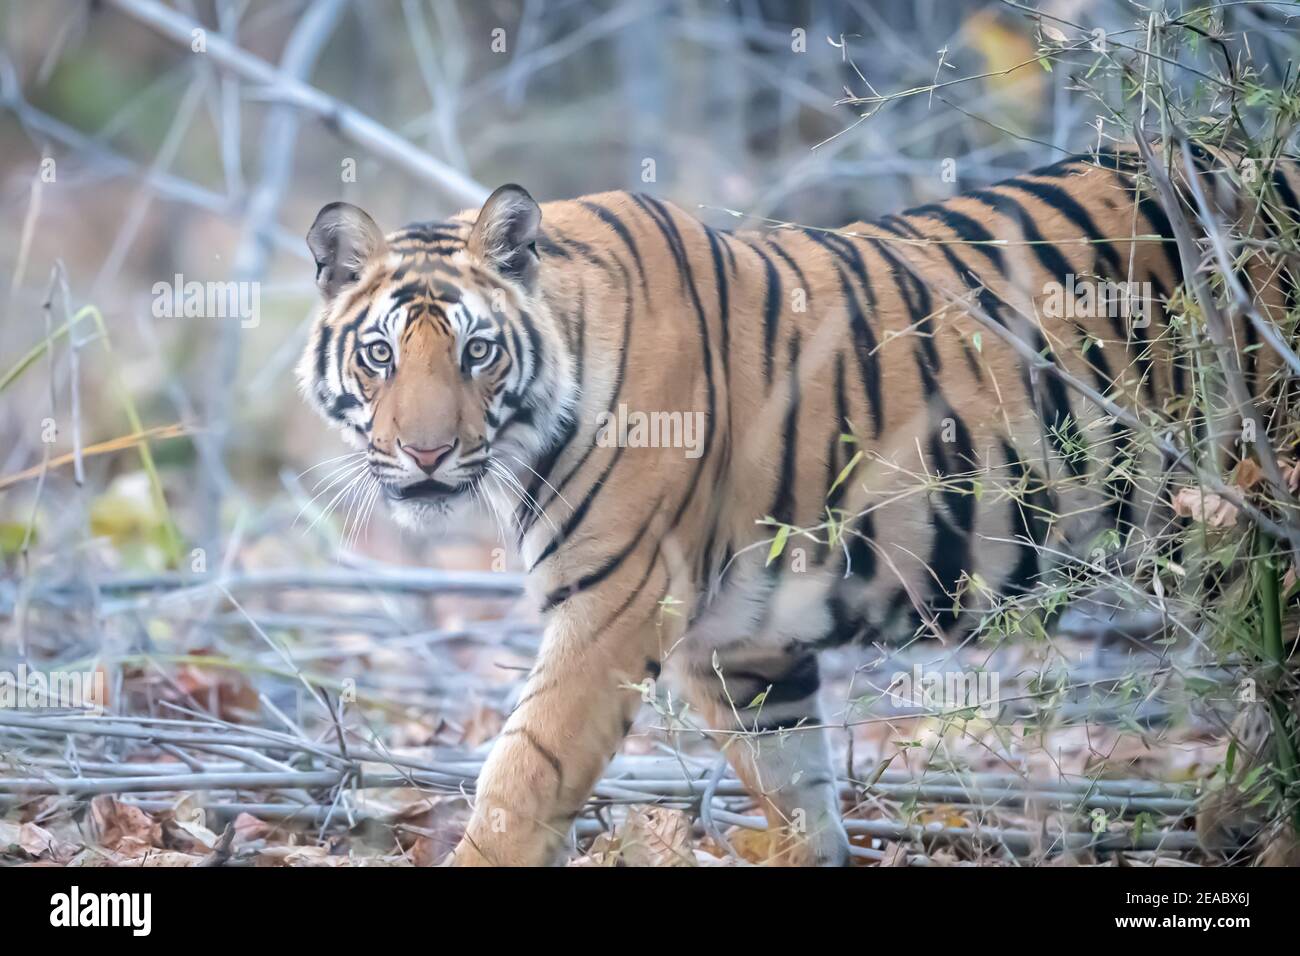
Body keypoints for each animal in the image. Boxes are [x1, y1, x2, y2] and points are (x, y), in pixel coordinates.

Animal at [297, 145, 1300, 866]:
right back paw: (1232, 821)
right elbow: (799, 795)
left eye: (477, 352)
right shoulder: (742, 652)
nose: (426, 452)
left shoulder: (611, 615)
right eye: (382, 354)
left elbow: (521, 780)